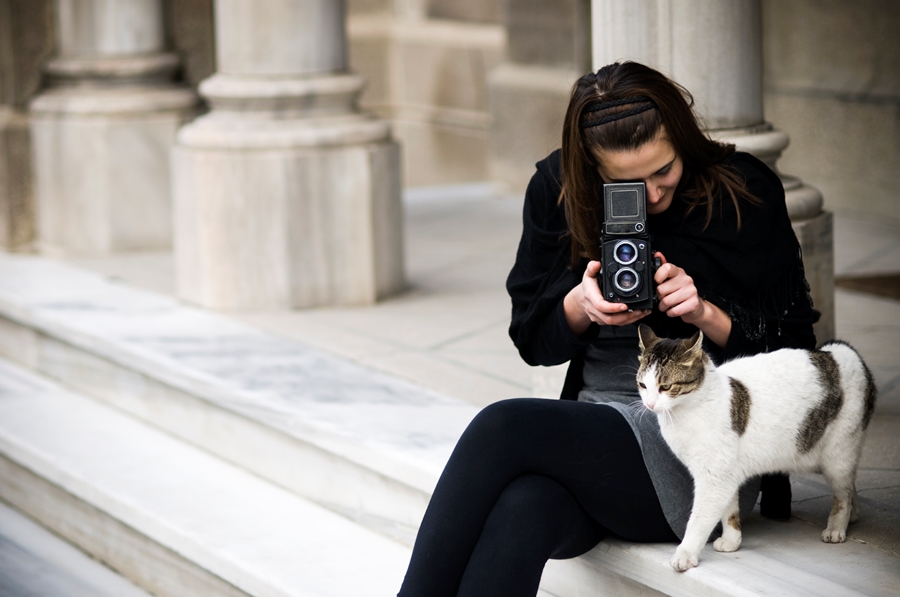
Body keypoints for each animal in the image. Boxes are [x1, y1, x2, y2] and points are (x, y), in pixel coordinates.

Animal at [636, 324, 876, 572]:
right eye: (643, 385)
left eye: (665, 387)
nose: (649, 404)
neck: (689, 408)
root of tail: (843, 352)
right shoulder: (726, 474)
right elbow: (729, 510)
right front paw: (731, 540)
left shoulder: (714, 478)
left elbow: (699, 520)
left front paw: (685, 553)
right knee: (849, 483)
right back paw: (854, 513)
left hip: (837, 454)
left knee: (842, 493)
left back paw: (837, 526)